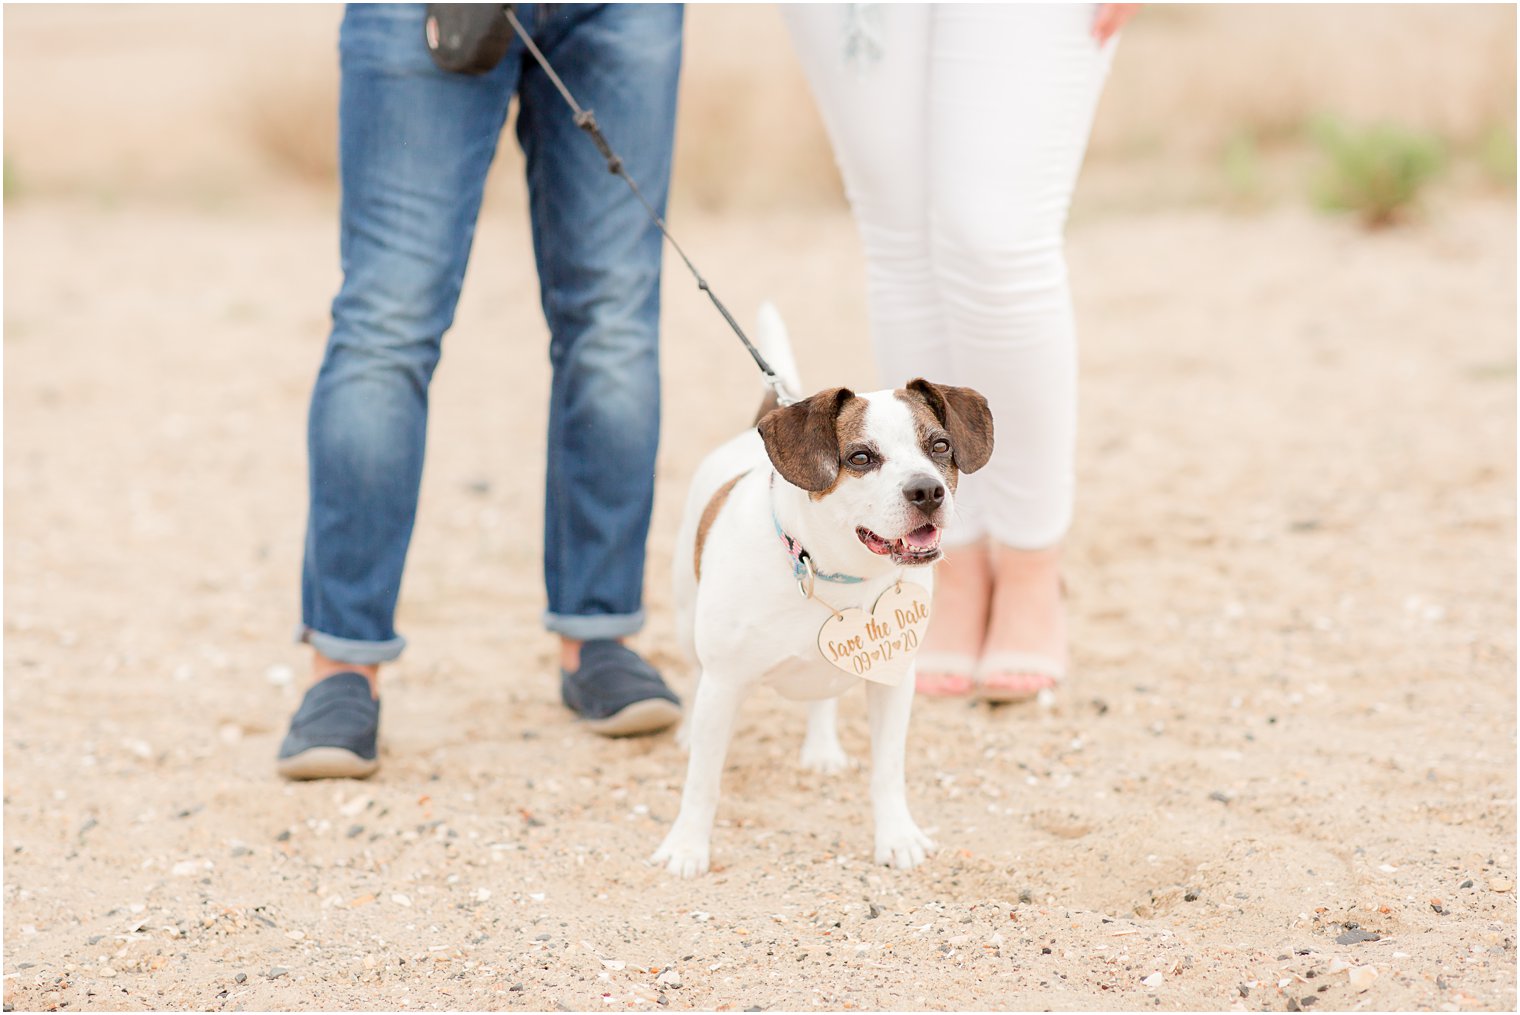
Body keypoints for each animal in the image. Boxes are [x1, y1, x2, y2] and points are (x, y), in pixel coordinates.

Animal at [653, 305, 997, 875]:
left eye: (940, 446)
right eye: (859, 458)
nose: (928, 490)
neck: (832, 570)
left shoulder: (893, 681)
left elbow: (888, 770)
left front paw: (896, 836)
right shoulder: (724, 685)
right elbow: (703, 781)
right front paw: (686, 846)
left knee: (822, 697)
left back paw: (822, 749)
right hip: (685, 620)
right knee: (691, 671)